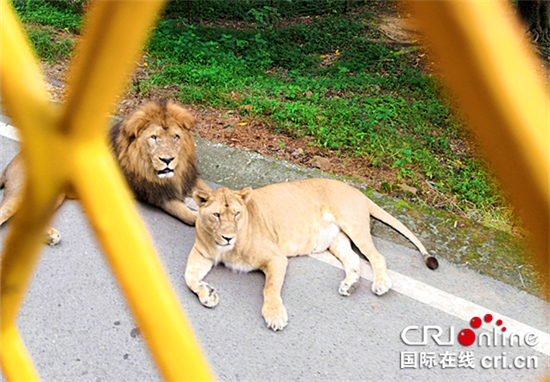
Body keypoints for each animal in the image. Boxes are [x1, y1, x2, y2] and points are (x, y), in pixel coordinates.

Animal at [0, 100, 212, 245]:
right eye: (154, 137)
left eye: (176, 136)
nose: (167, 160)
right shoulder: (155, 195)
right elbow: (189, 216)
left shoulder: (188, 177)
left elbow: (209, 192)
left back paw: (49, 235)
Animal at [185, 179, 440, 332]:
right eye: (217, 215)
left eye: (237, 214)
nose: (228, 237)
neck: (224, 247)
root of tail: (356, 190)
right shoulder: (201, 253)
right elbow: (188, 277)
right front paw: (207, 294)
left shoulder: (276, 258)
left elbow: (270, 288)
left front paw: (275, 315)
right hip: (336, 240)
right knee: (353, 259)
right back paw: (350, 284)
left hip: (353, 225)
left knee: (377, 257)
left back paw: (380, 284)